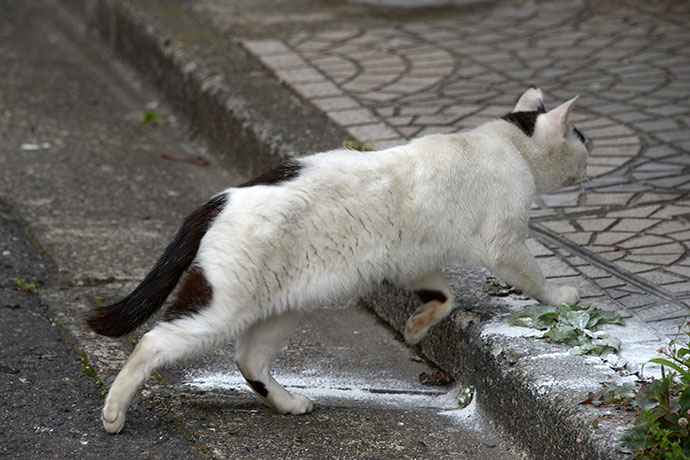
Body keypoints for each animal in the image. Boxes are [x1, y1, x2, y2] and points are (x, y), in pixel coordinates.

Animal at [82, 87, 584, 434]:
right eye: (581, 137)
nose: (589, 158)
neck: (504, 141)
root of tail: (221, 196)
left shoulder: (415, 259)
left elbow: (445, 296)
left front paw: (416, 327)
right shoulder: (504, 242)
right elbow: (531, 278)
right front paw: (562, 296)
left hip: (281, 306)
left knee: (250, 360)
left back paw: (288, 403)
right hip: (222, 307)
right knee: (155, 341)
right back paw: (114, 412)